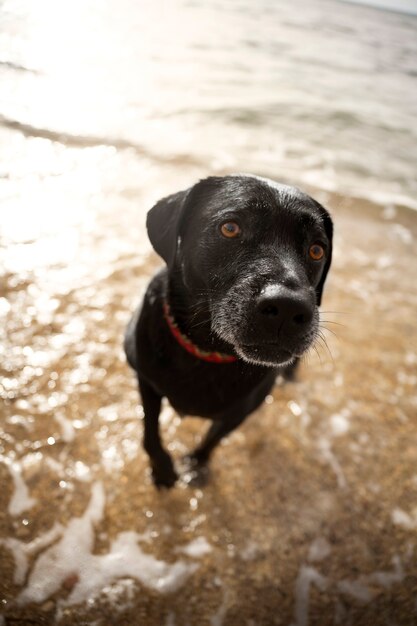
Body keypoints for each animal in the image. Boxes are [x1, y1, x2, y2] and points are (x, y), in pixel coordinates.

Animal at [123, 173, 332, 486]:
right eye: (230, 228)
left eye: (317, 250)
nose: (287, 307)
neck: (207, 352)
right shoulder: (146, 380)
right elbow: (150, 430)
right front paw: (162, 468)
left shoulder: (239, 413)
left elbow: (212, 439)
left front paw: (195, 465)